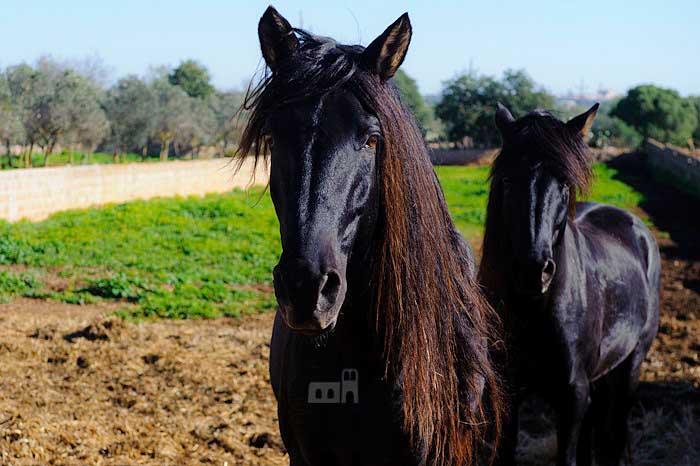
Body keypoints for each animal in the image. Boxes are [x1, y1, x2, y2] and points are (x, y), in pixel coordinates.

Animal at [482, 104, 660, 466]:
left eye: (564, 182)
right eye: (506, 180)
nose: (533, 270)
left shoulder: (573, 396)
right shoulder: (509, 392)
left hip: (632, 364)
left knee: (615, 434)